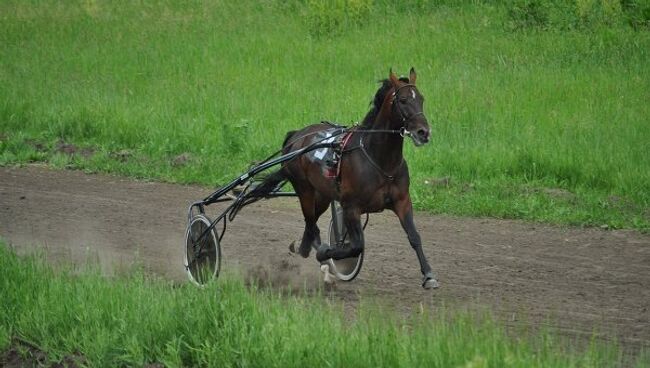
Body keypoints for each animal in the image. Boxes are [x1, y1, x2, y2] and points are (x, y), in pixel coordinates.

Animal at [251, 67, 438, 288]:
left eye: (421, 99)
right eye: (402, 100)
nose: (423, 132)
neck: (380, 160)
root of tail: (296, 136)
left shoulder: (402, 201)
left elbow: (414, 236)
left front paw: (428, 275)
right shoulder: (351, 207)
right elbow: (355, 246)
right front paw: (327, 253)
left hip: (322, 195)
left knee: (311, 226)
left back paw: (306, 250)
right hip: (304, 188)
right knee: (310, 223)